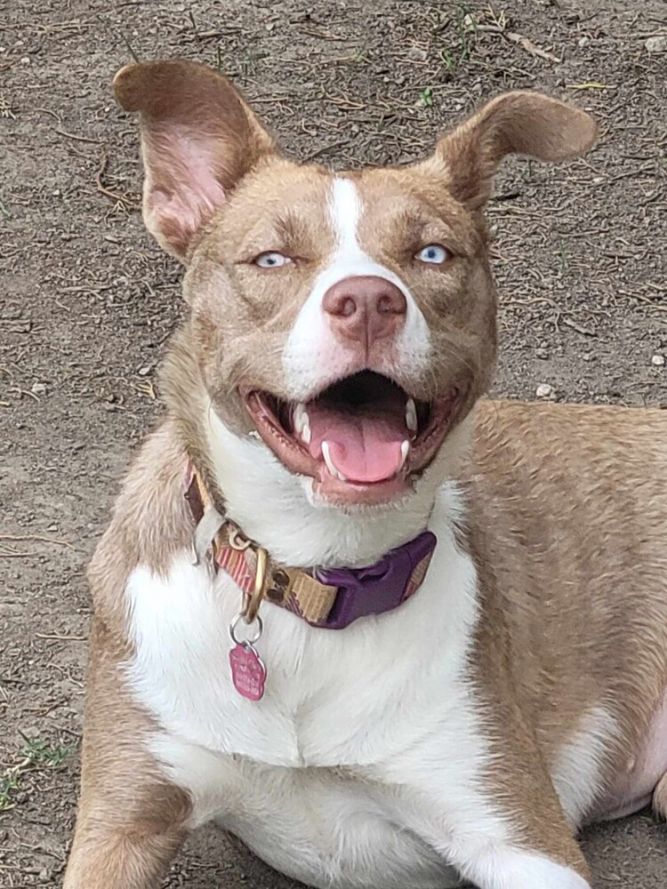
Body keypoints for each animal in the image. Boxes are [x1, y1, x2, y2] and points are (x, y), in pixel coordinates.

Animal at [64, 59, 667, 884]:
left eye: (432, 254)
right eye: (272, 258)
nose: (368, 300)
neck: (315, 571)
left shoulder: (518, 835)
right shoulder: (121, 820)